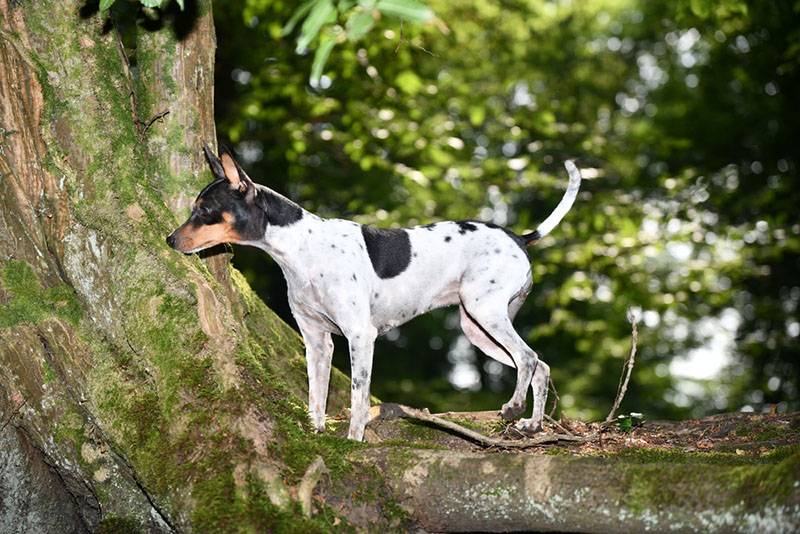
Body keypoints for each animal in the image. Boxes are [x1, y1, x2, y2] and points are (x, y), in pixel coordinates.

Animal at [169, 144, 580, 442]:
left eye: (204, 209)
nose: (170, 239)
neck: (302, 248)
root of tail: (518, 237)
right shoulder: (317, 341)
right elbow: (316, 397)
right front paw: (317, 434)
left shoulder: (360, 336)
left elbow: (358, 398)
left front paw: (353, 441)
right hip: (477, 329)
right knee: (541, 366)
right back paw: (532, 426)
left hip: (485, 313)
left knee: (528, 358)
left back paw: (513, 409)